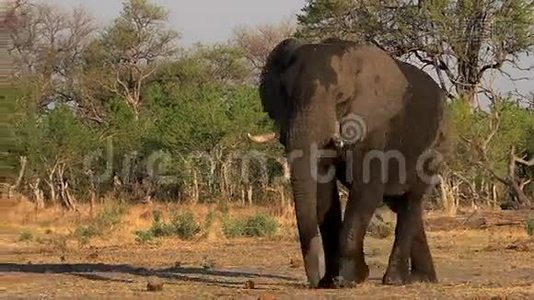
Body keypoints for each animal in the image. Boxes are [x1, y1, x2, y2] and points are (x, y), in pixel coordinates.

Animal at [249, 37, 450, 288]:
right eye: (286, 96)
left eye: (341, 99)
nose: (313, 282)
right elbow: (323, 194)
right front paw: (330, 281)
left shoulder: (376, 128)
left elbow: (367, 191)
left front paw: (347, 280)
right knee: (400, 203)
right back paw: (422, 279)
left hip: (435, 143)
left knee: (411, 201)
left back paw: (394, 280)